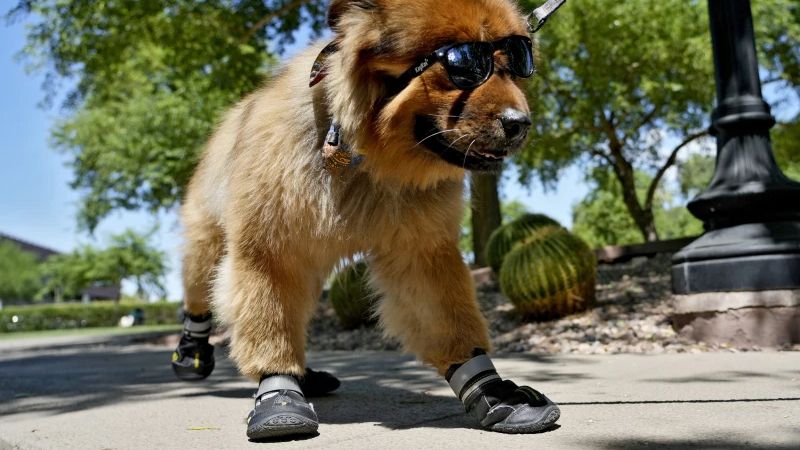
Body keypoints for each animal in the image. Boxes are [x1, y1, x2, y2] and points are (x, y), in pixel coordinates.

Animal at [176, 0, 564, 440]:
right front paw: (279, 392)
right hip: (210, 241)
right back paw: (192, 351)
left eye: (514, 64)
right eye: (465, 65)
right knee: (200, 294)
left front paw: (492, 391)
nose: (520, 123)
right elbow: (269, 322)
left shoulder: (420, 251)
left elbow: (448, 321)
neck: (363, 157)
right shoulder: (269, 253)